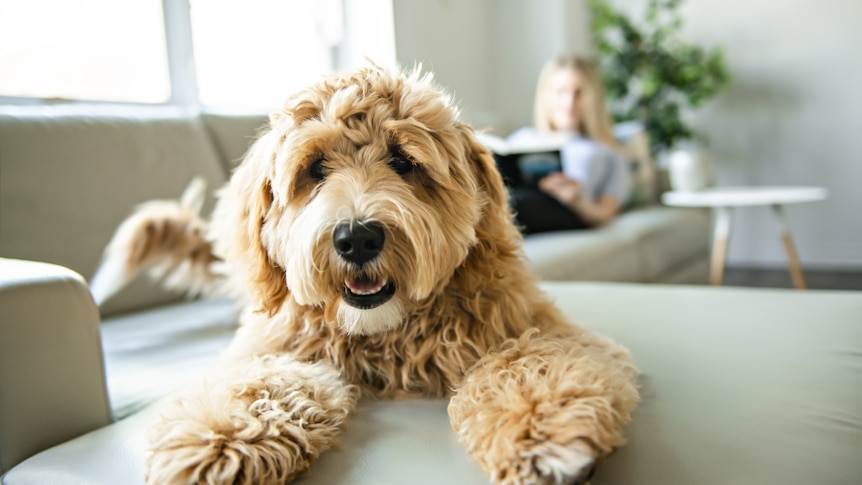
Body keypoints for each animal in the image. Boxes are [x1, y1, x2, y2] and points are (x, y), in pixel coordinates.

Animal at [94, 65, 636, 484]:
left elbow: (526, 362)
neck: (384, 336)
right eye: (315, 168)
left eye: (403, 161)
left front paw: (543, 430)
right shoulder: (270, 348)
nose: (357, 238)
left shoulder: (537, 327)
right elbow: (260, 383)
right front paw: (218, 442)